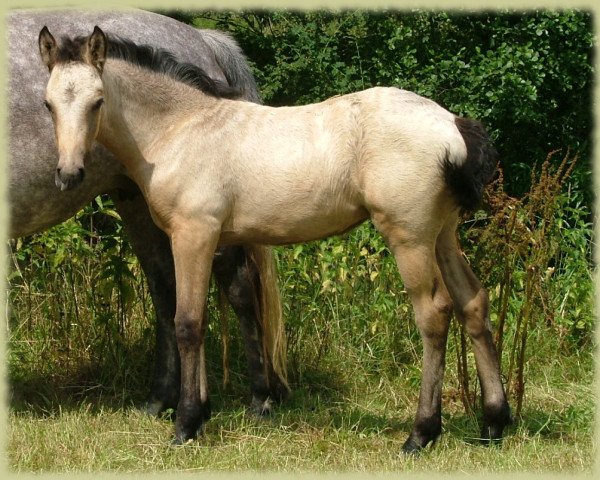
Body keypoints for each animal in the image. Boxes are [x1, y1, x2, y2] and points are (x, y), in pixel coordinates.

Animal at [7, 9, 288, 418]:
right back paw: (164, 399)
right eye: (46, 104)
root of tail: (203, 39)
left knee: (237, 290)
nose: (68, 174)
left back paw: (257, 399)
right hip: (138, 204)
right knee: (168, 292)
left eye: (98, 102)